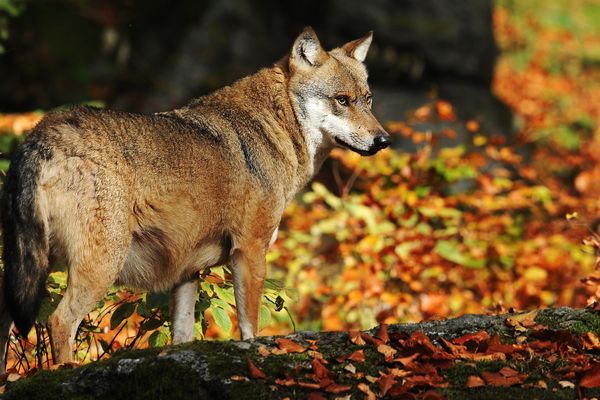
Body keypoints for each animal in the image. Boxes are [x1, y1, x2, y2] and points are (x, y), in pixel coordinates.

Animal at [0, 26, 390, 368]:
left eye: (368, 100)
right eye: (342, 101)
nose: (384, 140)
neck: (274, 127)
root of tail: (40, 137)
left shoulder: (187, 272)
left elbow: (182, 337)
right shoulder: (249, 250)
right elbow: (249, 327)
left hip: (29, 269)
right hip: (100, 266)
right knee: (59, 322)